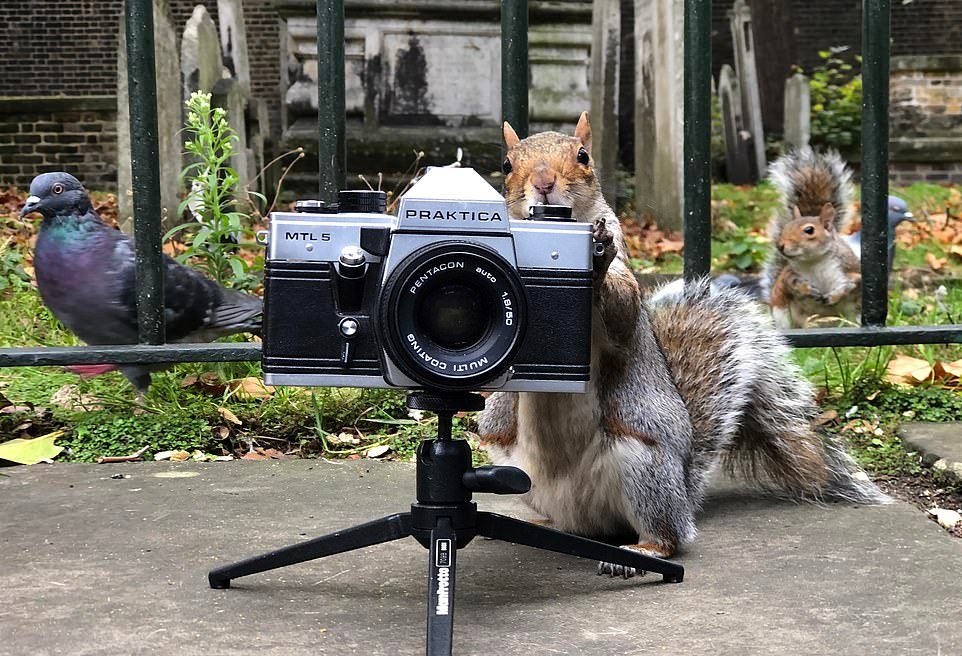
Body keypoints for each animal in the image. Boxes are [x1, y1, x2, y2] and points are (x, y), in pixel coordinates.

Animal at [760, 151, 860, 330]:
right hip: (781, 312)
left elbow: (850, 284)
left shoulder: (849, 270)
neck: (814, 263)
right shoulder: (790, 275)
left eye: (809, 230)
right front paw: (809, 290)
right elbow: (794, 284)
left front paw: (833, 296)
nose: (780, 246)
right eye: (786, 228)